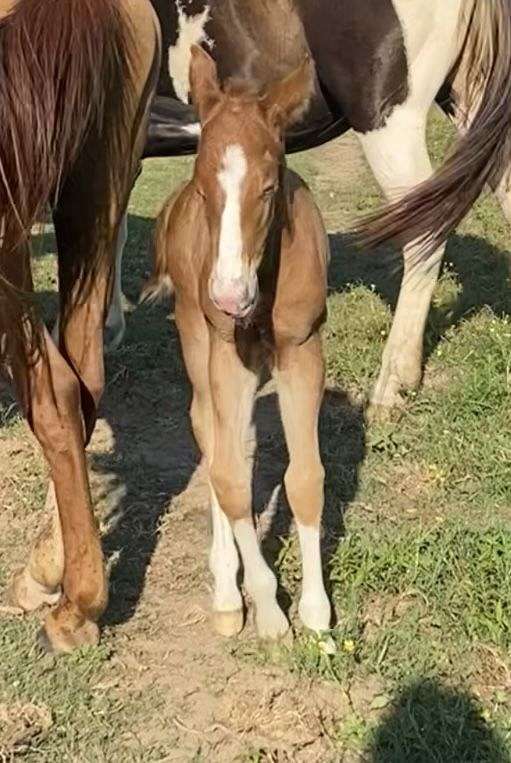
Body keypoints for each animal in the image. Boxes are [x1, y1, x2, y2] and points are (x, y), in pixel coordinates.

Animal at [147, 45, 332, 642]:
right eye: (203, 186)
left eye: (270, 186)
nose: (229, 295)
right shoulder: (226, 355)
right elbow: (228, 480)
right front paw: (269, 610)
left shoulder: (303, 351)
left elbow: (305, 477)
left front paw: (317, 613)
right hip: (196, 339)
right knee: (212, 440)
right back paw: (228, 592)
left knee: (240, 444)